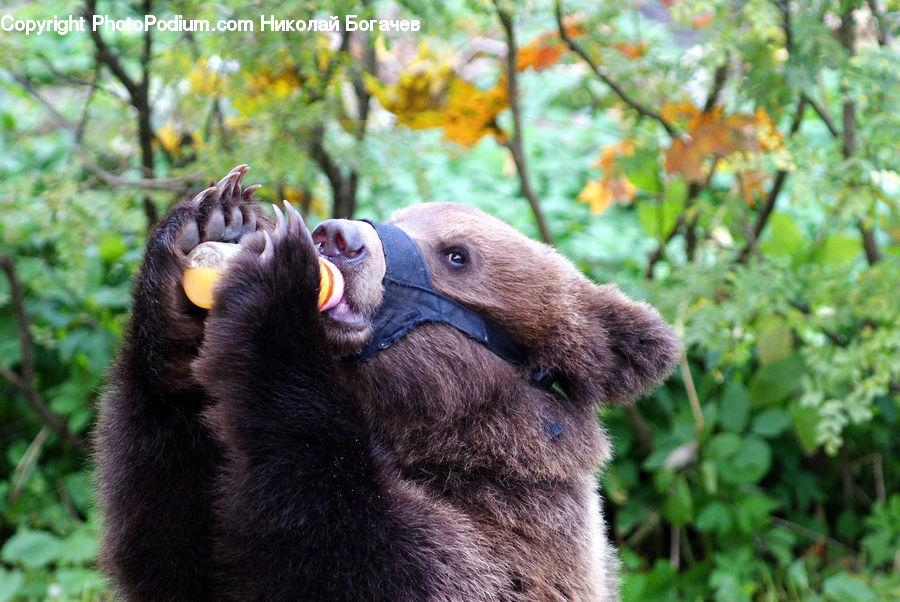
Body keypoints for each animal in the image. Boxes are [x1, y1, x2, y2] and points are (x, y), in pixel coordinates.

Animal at [95, 165, 680, 600]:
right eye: (400, 217)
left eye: (456, 254)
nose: (336, 236)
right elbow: (170, 541)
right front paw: (213, 222)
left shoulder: (510, 541)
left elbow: (351, 539)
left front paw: (277, 287)